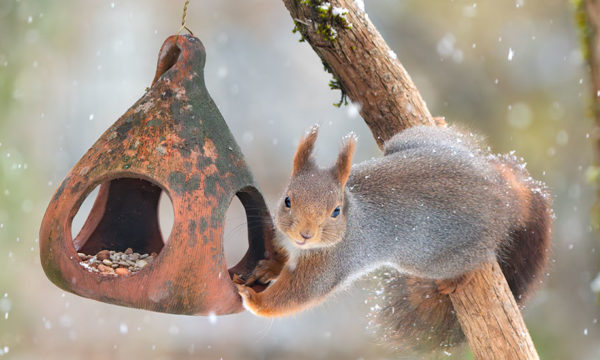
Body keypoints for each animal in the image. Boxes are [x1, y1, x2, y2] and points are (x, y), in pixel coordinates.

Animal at [234, 125, 552, 352]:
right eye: (288, 200)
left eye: (335, 211)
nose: (305, 234)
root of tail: (502, 194)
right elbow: (281, 260)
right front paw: (267, 268)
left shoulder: (331, 264)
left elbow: (297, 293)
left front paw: (254, 300)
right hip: (412, 140)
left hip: (435, 257)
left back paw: (458, 279)